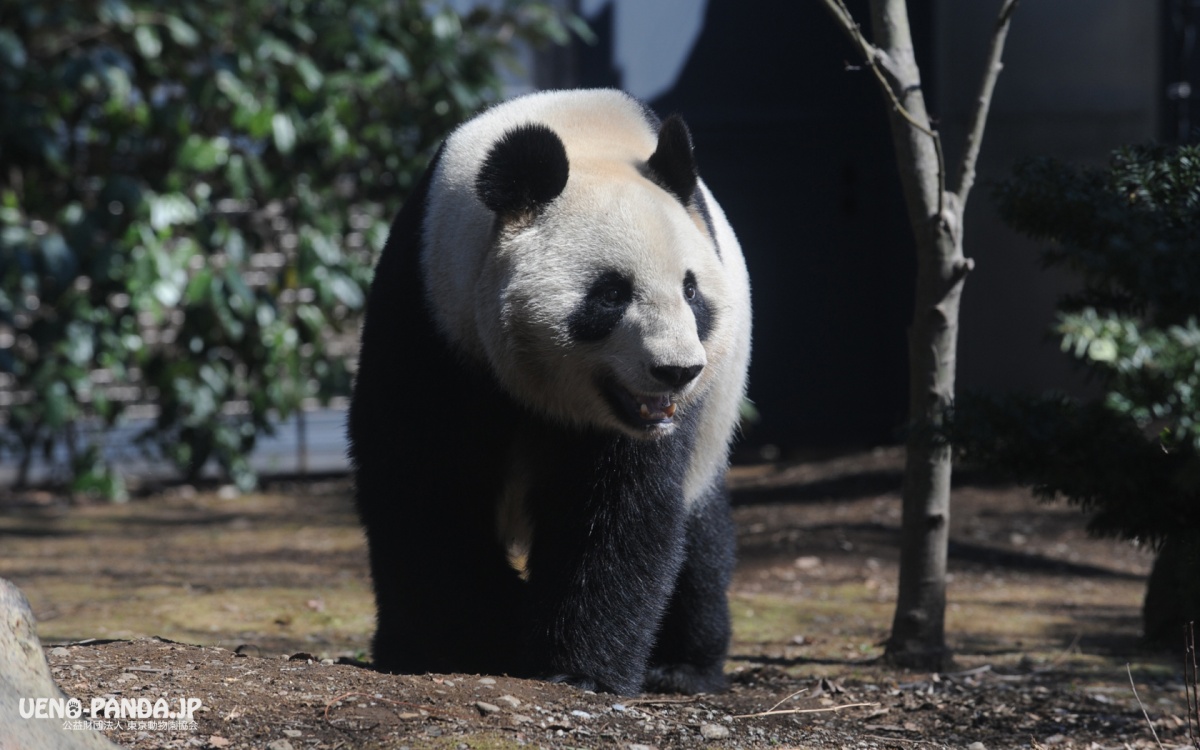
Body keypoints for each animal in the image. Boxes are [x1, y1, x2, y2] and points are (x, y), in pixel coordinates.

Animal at [348, 89, 748, 696]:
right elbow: (423, 488)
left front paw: (575, 668)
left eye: (691, 291)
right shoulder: (432, 314)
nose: (677, 370)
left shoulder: (642, 422)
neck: (583, 137)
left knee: (699, 534)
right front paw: (486, 630)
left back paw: (684, 666)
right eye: (610, 293)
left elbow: (619, 512)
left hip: (714, 415)